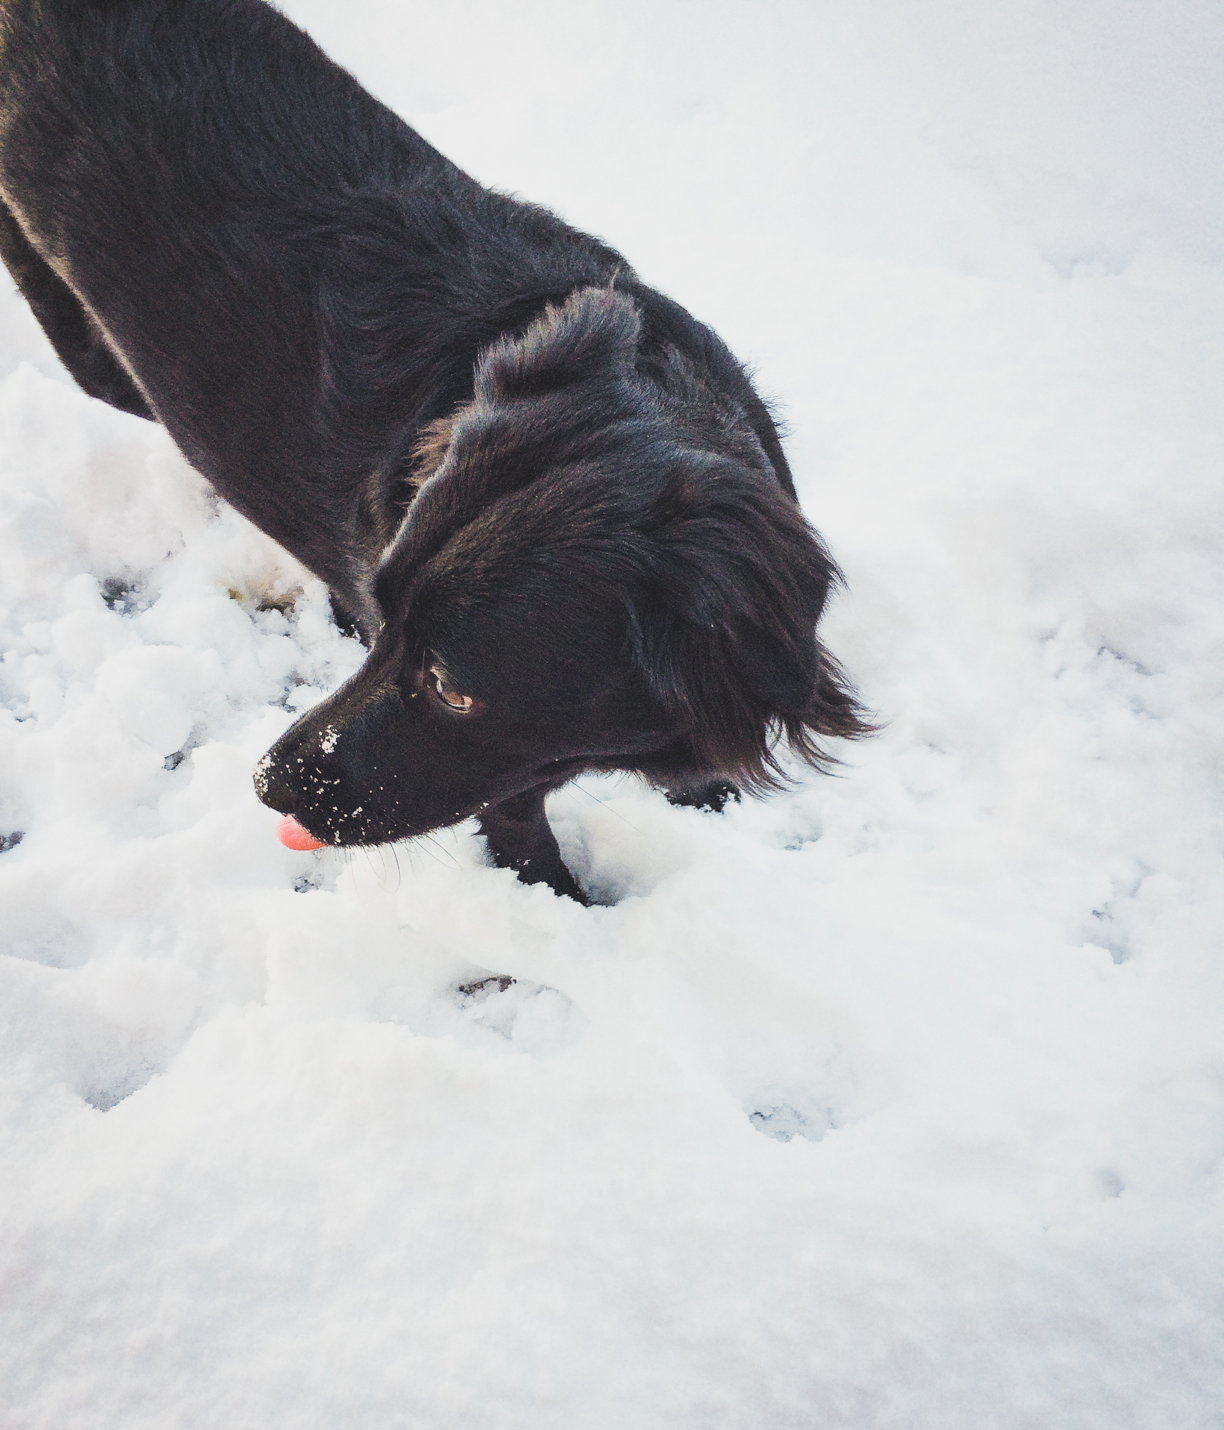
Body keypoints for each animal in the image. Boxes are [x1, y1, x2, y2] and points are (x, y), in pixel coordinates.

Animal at [0, 0, 869, 898]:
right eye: (388, 621)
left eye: (450, 687)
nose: (264, 784)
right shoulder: (505, 785)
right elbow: (530, 849)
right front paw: (565, 910)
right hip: (92, 348)